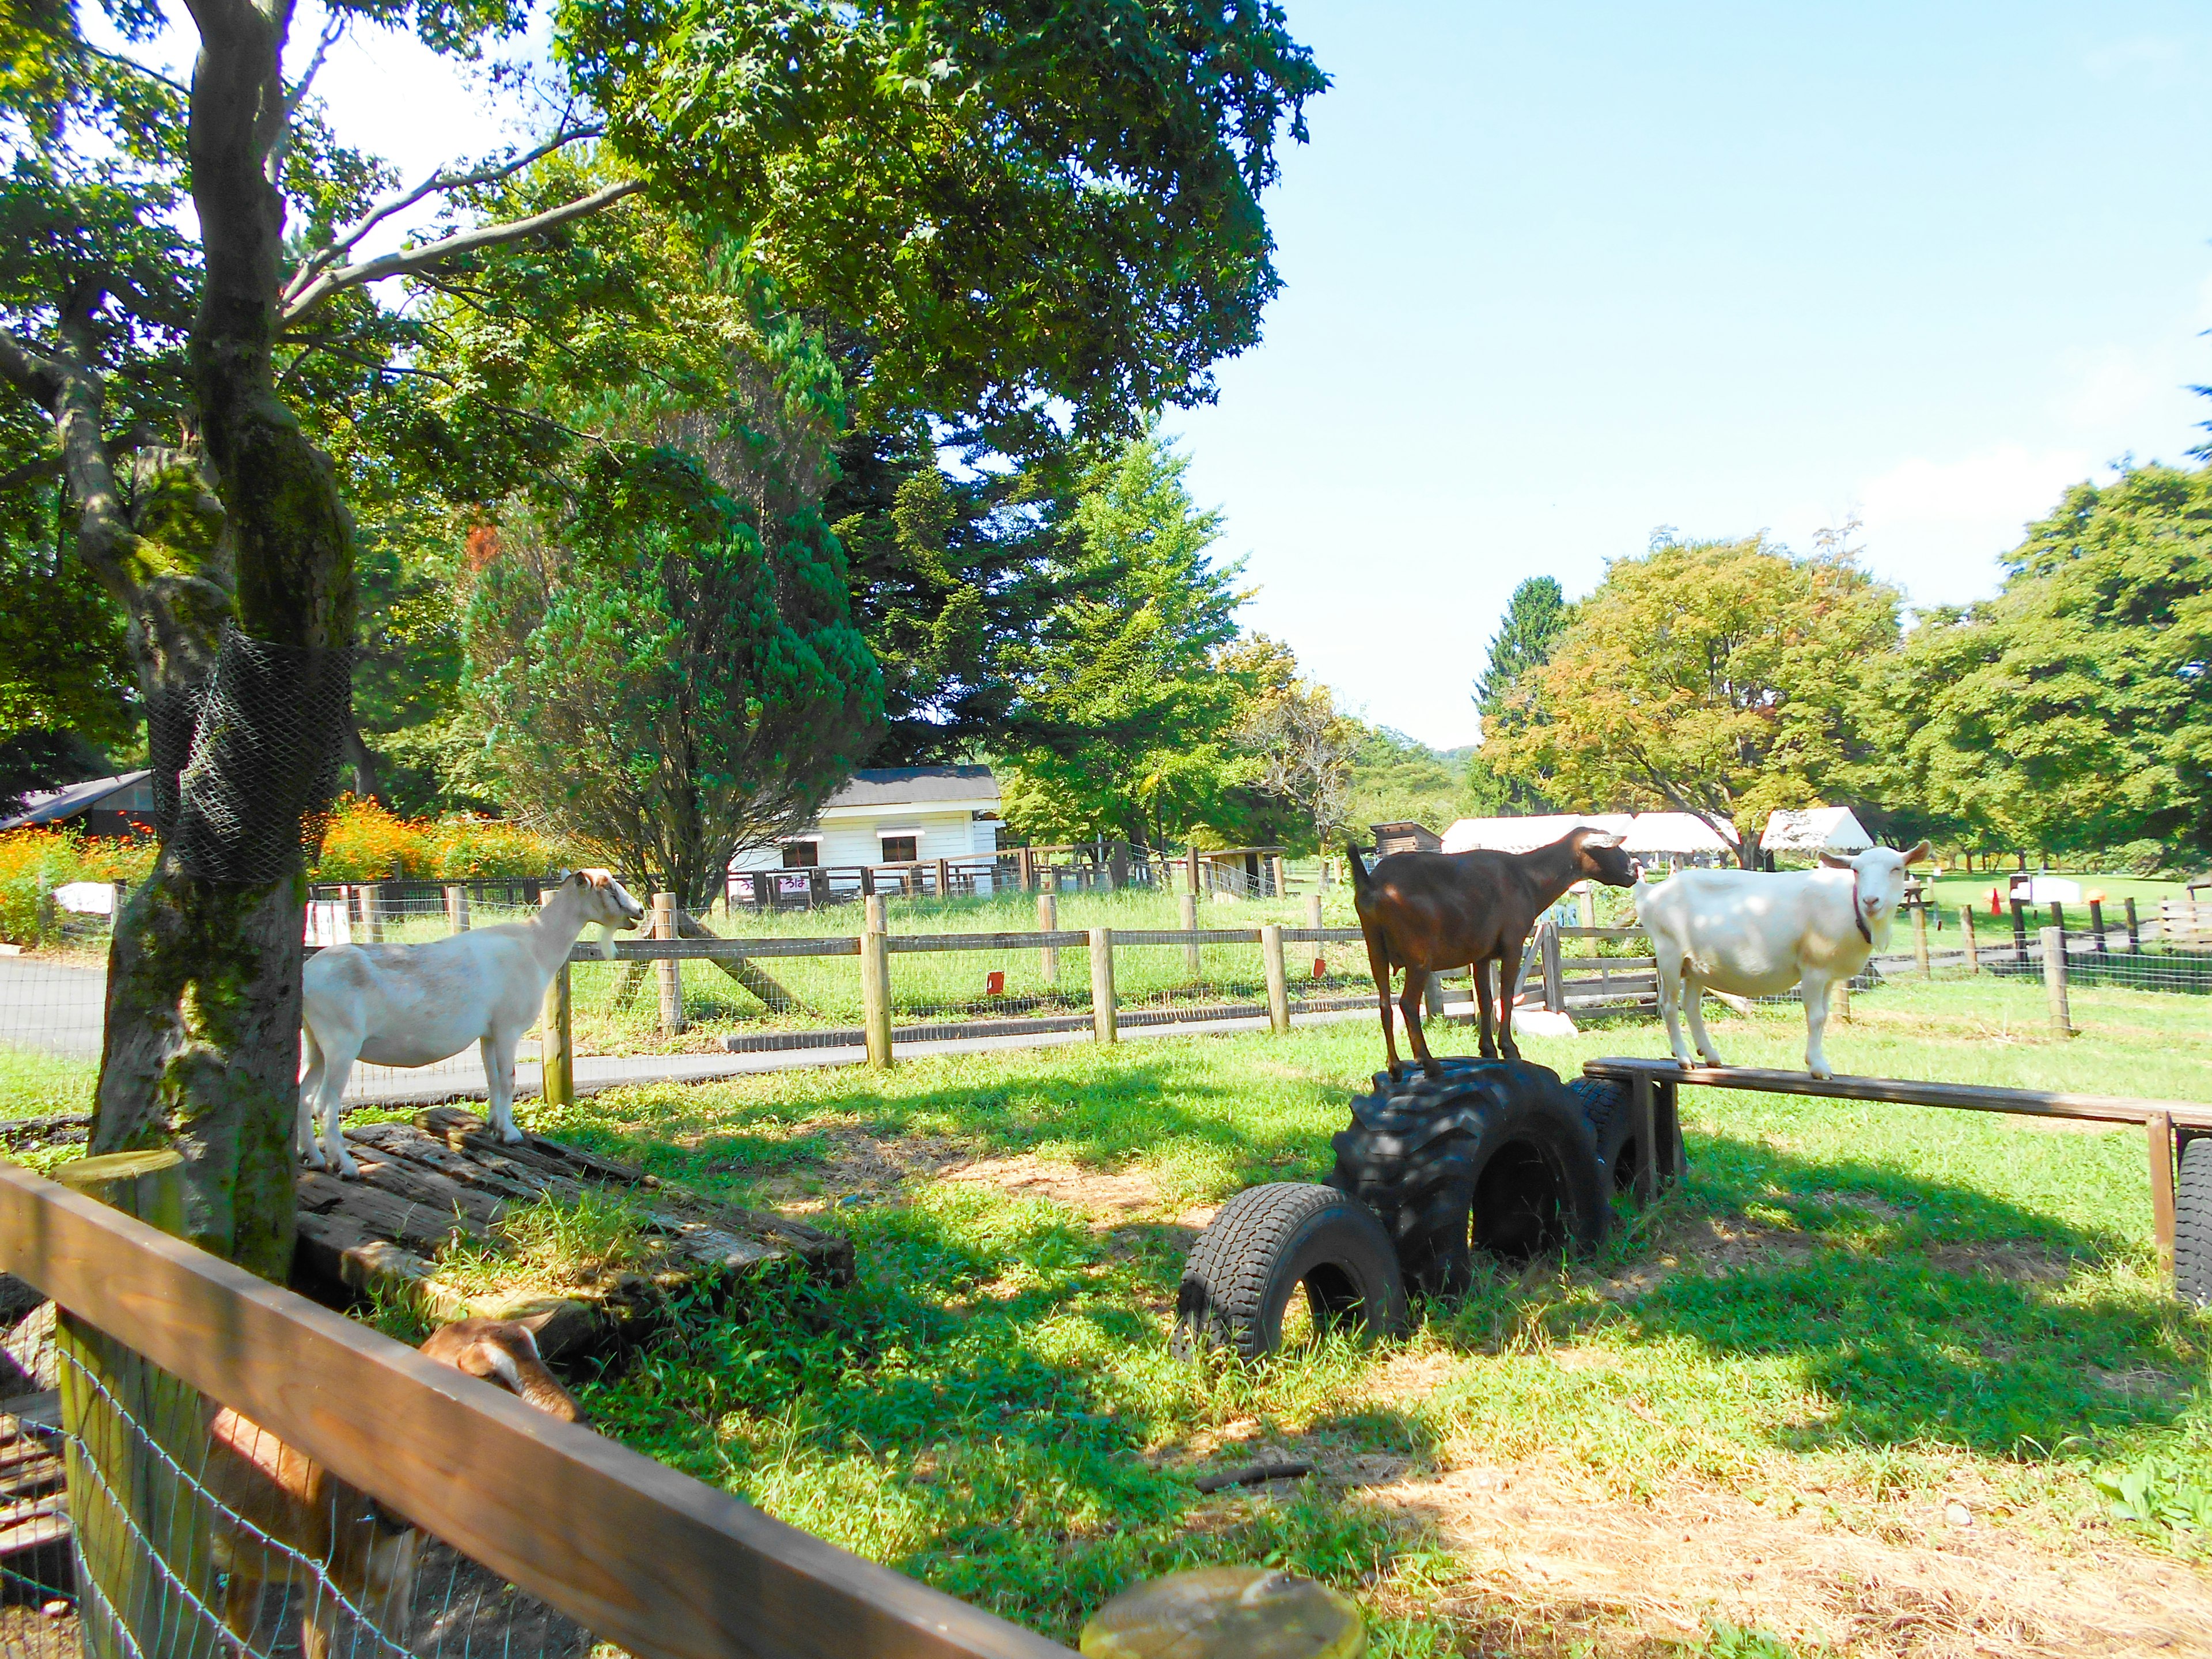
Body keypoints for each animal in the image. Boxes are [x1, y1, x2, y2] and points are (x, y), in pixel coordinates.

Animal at [296, 862, 641, 1176]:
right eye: (609, 888)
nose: (638, 911)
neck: (535, 946)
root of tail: (307, 976)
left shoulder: (488, 1033)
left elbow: (492, 1079)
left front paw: (494, 1126)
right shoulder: (507, 1027)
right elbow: (508, 1079)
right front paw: (510, 1134)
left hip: (316, 1044)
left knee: (302, 1097)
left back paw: (314, 1158)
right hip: (341, 1043)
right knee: (324, 1105)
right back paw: (345, 1166)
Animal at [1344, 831, 1645, 1092]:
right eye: (1612, 847)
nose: (1635, 869)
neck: (1528, 878)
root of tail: (1372, 885)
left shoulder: (1481, 955)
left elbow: (1486, 1001)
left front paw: (1487, 1050)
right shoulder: (1512, 945)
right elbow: (1507, 996)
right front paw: (1509, 1049)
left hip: (1375, 949)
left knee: (1385, 1005)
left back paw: (1395, 1069)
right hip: (1418, 957)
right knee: (1407, 1004)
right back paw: (1429, 1064)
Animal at [1637, 836, 1929, 1084]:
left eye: (1897, 869)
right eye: (1856, 870)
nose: (1871, 900)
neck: (1851, 906)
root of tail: (1649, 893)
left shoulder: (1828, 974)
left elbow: (1824, 1015)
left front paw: (1816, 1061)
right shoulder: (1813, 968)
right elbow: (1816, 1016)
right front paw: (1818, 1067)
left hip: (1696, 964)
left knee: (1691, 1006)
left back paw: (1710, 1055)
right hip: (1669, 953)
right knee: (1669, 1005)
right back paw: (1684, 1058)